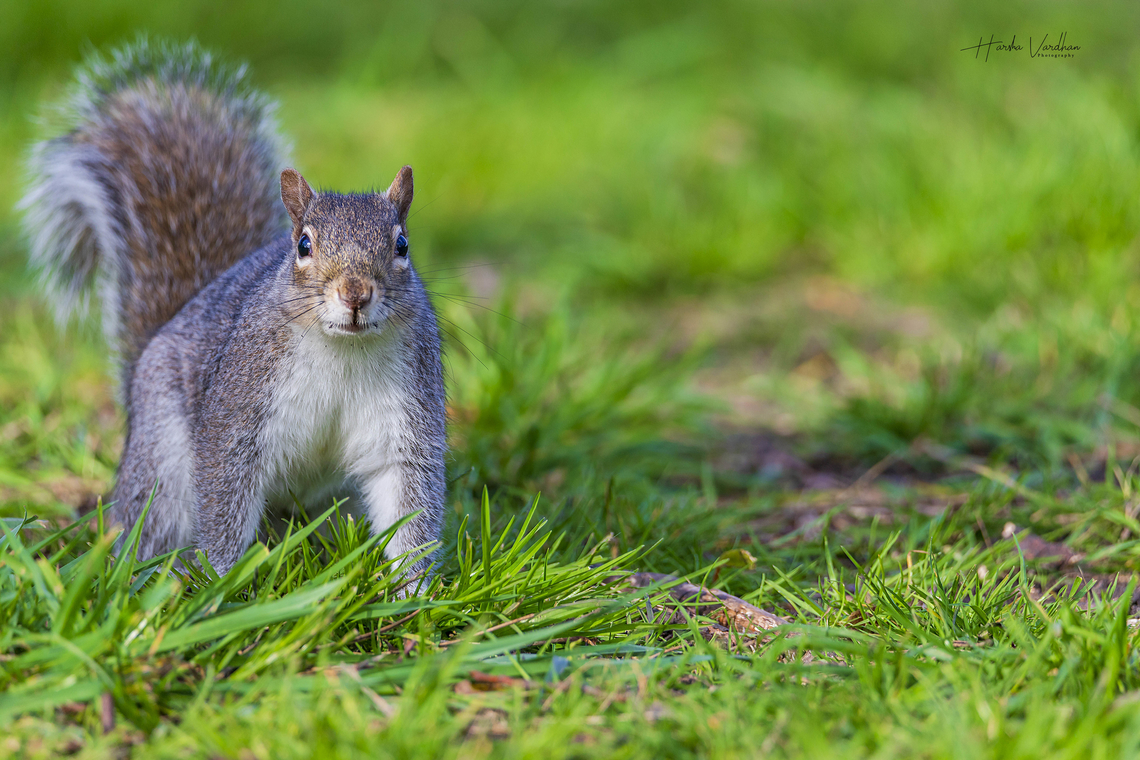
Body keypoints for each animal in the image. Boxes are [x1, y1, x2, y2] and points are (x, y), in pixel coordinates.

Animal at [19, 40, 448, 580]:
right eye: (303, 245)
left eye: (402, 245)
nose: (355, 294)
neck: (343, 351)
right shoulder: (239, 407)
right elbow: (223, 499)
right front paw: (219, 581)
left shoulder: (407, 416)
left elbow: (408, 502)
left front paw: (416, 591)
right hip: (162, 465)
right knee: (153, 521)